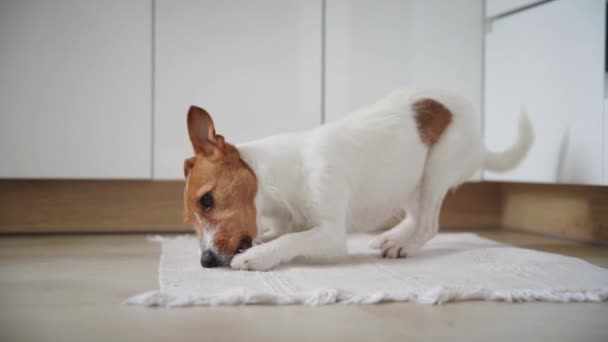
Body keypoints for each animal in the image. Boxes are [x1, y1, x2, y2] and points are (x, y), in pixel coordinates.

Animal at [182, 87, 532, 270]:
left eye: (207, 200)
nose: (205, 261)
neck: (278, 176)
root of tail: (481, 142)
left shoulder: (331, 233)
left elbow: (291, 240)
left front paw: (257, 256)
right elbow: (278, 233)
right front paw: (260, 243)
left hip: (437, 168)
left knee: (429, 224)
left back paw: (404, 246)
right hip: (407, 179)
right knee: (416, 217)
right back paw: (391, 238)